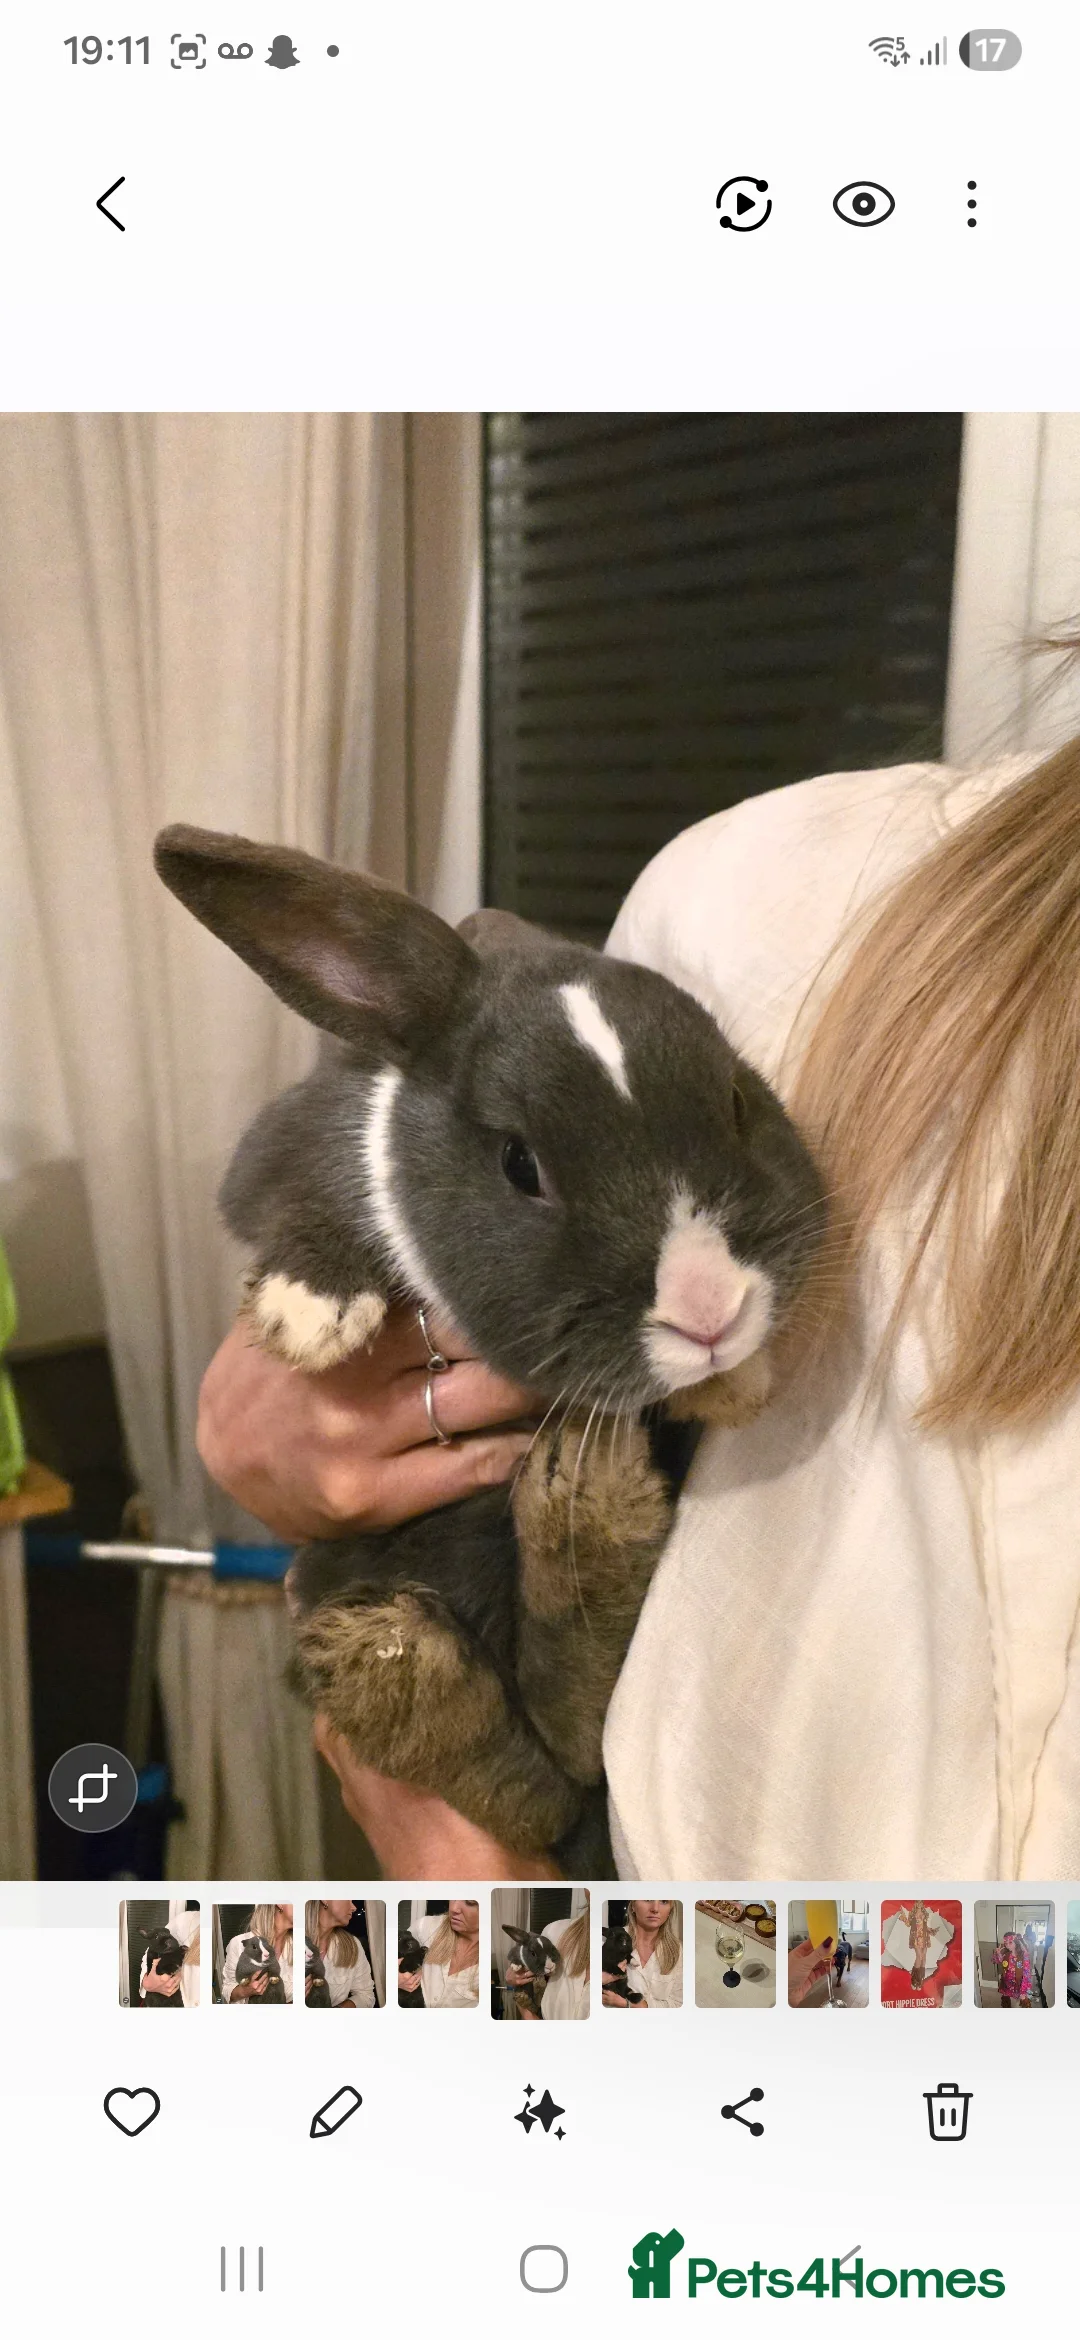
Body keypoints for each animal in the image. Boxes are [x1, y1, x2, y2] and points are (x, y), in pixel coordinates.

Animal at [154, 825, 827, 1870]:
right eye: (520, 1165)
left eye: (734, 1099)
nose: (711, 1308)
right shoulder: (279, 1159)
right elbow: (300, 1205)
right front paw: (309, 1311)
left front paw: (739, 1376)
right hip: (344, 1583)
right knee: (511, 1779)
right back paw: (406, 1661)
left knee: (569, 1749)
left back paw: (584, 1515)